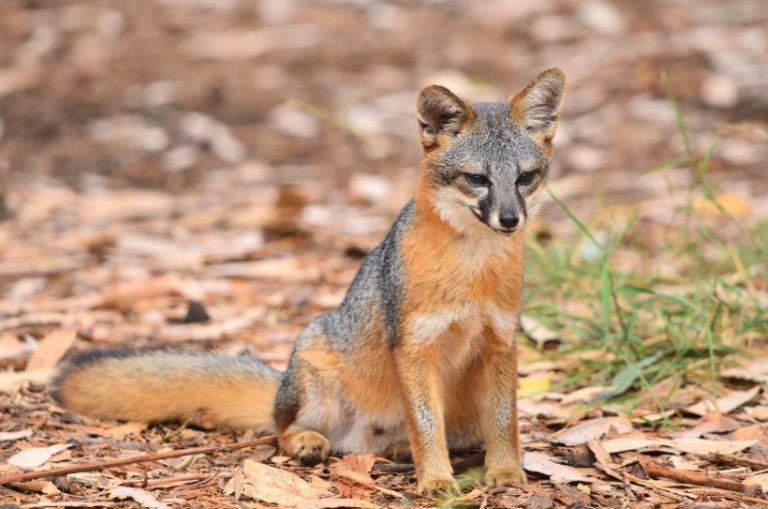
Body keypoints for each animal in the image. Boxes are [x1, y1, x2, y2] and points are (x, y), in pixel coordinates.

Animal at [53, 68, 566, 495]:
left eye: (525, 178)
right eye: (476, 179)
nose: (510, 219)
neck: (472, 271)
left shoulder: (501, 342)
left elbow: (504, 421)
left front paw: (505, 472)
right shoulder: (413, 347)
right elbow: (425, 425)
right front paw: (436, 481)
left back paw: (397, 449)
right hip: (316, 377)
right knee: (282, 431)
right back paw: (310, 442)